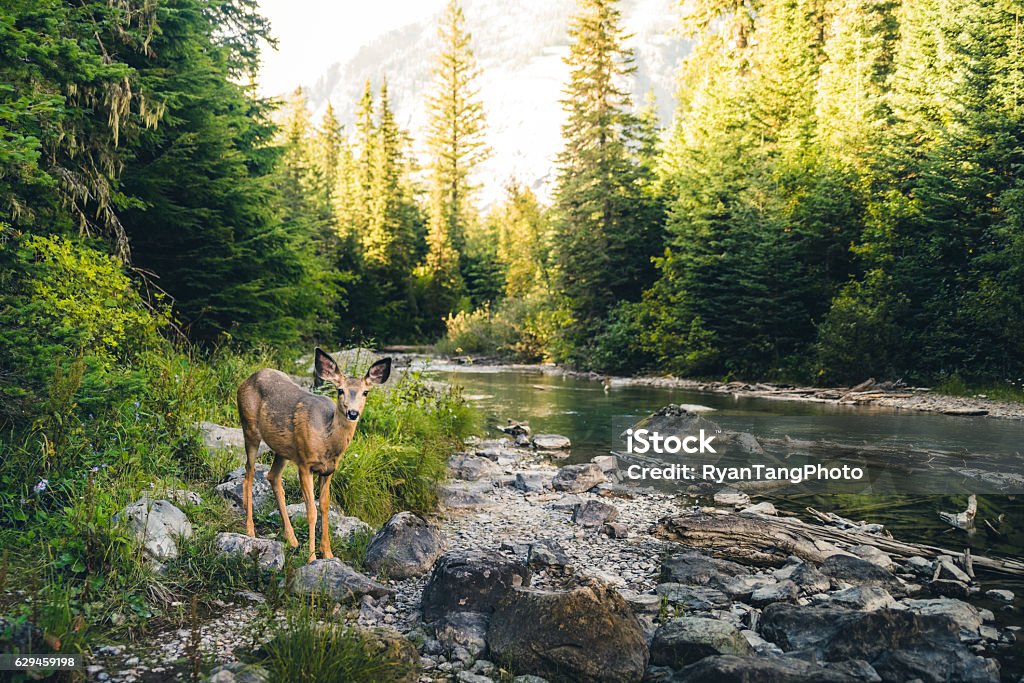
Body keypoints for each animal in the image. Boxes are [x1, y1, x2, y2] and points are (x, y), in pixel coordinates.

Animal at [236, 350, 391, 565]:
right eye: (340, 390)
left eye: (365, 392)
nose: (352, 413)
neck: (327, 441)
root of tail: (247, 379)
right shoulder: (305, 464)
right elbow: (311, 511)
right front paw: (311, 557)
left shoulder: (329, 470)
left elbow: (325, 507)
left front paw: (328, 553)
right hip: (249, 428)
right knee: (249, 475)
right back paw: (250, 530)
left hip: (283, 450)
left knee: (272, 476)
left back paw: (292, 539)